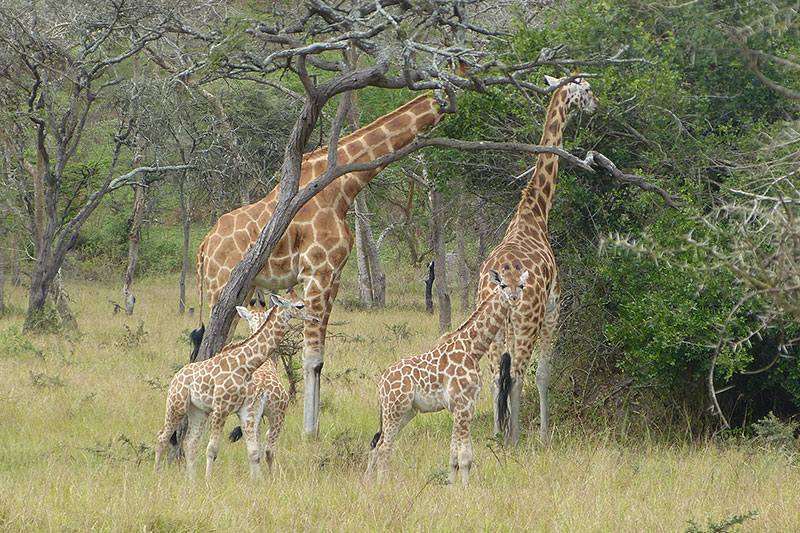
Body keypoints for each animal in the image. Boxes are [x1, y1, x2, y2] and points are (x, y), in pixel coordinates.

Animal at [154, 291, 319, 482]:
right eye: (299, 305)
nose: (315, 317)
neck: (246, 365)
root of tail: (176, 376)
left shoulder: (246, 409)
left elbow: (254, 451)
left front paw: (258, 482)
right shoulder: (221, 408)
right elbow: (212, 450)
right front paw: (208, 482)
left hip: (199, 411)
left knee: (189, 443)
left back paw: (192, 480)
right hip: (176, 405)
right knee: (162, 437)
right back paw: (156, 475)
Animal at [196, 93, 446, 437]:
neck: (342, 188)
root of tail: (204, 247)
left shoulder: (334, 274)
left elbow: (321, 357)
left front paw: (312, 430)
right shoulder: (317, 272)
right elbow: (311, 357)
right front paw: (308, 433)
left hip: (240, 291)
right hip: (219, 286)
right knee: (209, 345)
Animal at [365, 268, 528, 485]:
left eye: (521, 285)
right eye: (503, 284)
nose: (514, 298)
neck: (474, 349)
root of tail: (380, 386)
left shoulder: (457, 407)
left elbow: (453, 457)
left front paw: (450, 485)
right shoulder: (465, 404)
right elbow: (465, 457)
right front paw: (466, 489)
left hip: (405, 412)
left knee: (377, 443)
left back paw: (368, 483)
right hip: (395, 409)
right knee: (384, 446)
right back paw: (382, 484)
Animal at [477, 74, 599, 446]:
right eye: (586, 89)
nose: (597, 105)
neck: (535, 213)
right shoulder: (553, 306)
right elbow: (544, 374)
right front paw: (545, 435)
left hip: (493, 323)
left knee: (494, 376)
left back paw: (497, 436)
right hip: (526, 321)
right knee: (516, 374)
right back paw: (515, 440)